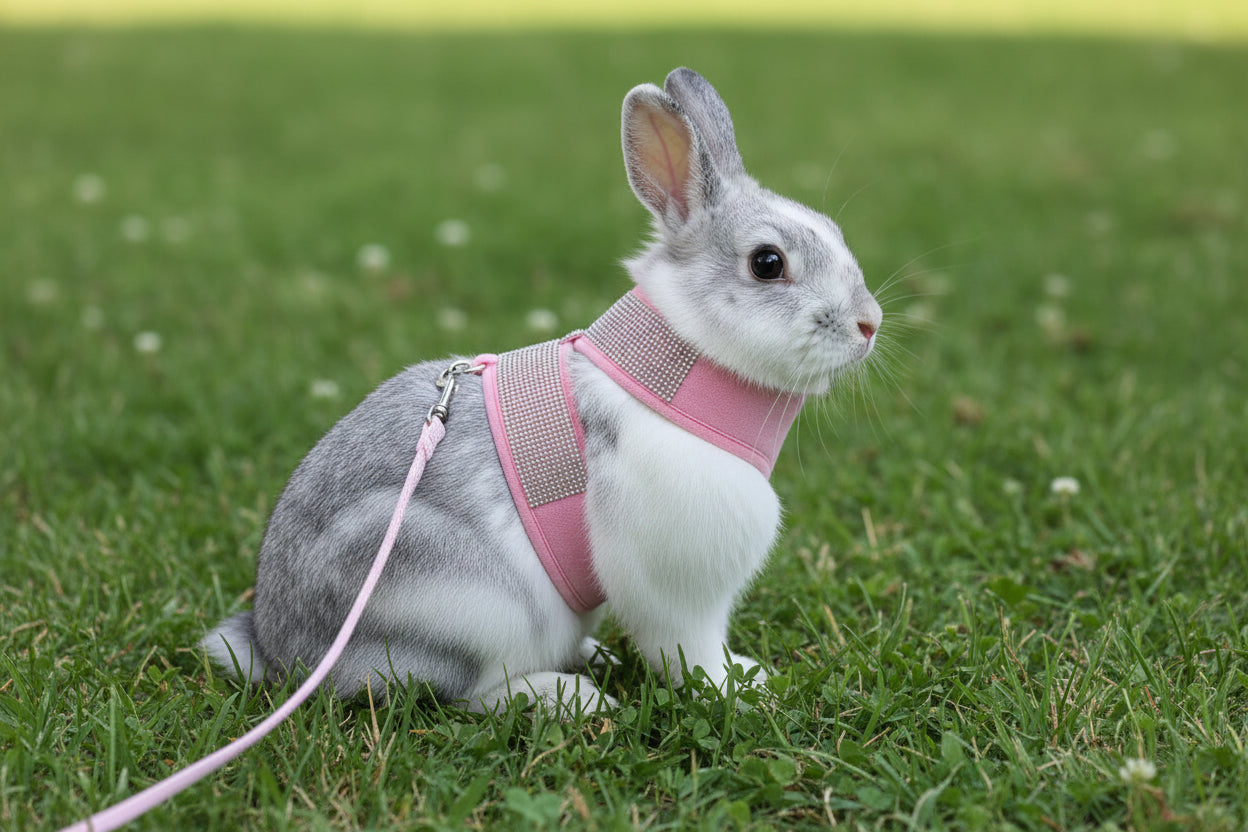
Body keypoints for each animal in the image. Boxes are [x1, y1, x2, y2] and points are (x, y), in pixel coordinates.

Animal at [201, 67, 883, 714]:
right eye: (768, 263)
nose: (869, 324)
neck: (672, 375)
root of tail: (283, 651)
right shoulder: (679, 591)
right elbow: (691, 651)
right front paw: (741, 690)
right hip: (472, 604)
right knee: (471, 693)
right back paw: (569, 698)